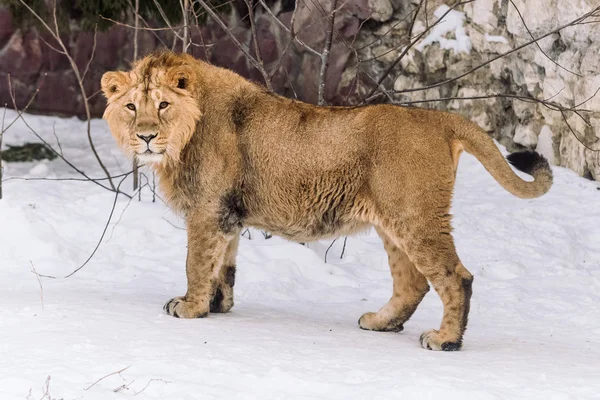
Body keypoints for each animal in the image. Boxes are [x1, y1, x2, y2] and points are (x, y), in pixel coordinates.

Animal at [99, 51, 552, 352]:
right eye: (130, 106)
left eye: (162, 105)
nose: (145, 136)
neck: (183, 139)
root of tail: (440, 119)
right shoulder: (227, 213)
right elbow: (222, 266)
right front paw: (217, 305)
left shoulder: (208, 210)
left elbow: (196, 263)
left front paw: (190, 308)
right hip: (393, 224)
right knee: (413, 282)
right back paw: (380, 323)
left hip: (416, 215)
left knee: (456, 277)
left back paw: (445, 340)